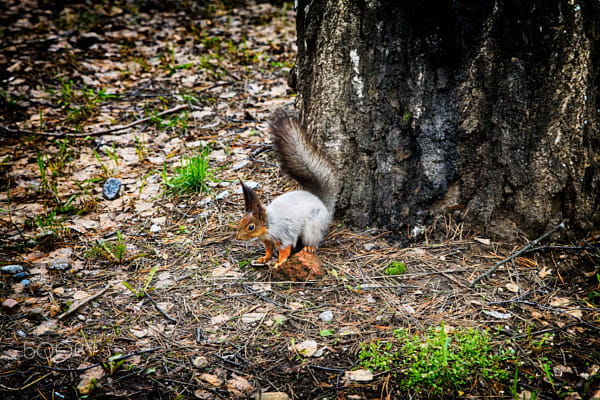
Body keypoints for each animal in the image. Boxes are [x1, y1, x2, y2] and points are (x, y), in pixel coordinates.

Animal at [234, 108, 338, 268]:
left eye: (251, 227)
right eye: (241, 221)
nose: (238, 237)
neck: (268, 225)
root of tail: (321, 203)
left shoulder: (284, 235)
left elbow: (285, 249)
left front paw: (279, 262)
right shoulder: (267, 240)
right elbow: (269, 249)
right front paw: (264, 258)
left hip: (312, 226)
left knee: (313, 239)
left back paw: (309, 247)